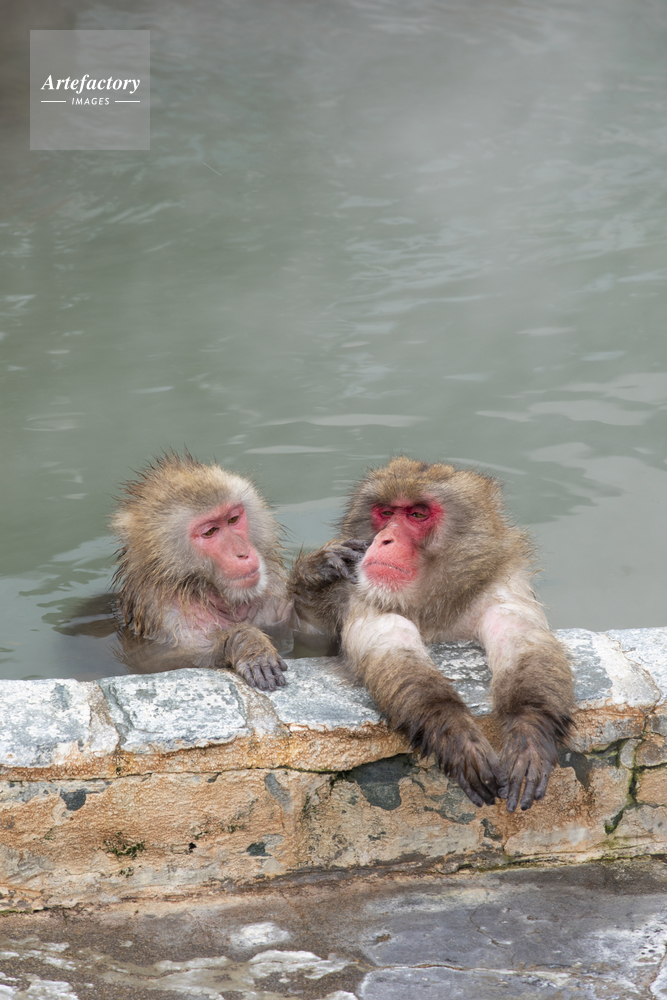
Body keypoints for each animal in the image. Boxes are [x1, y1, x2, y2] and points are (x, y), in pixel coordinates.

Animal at [111, 452, 294, 691]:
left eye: (233, 519)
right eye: (210, 531)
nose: (242, 553)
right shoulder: (169, 617)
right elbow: (174, 662)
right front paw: (246, 642)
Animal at [289, 457, 575, 813]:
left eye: (417, 515)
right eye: (386, 513)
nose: (384, 540)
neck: (432, 606)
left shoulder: (503, 589)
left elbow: (523, 643)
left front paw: (529, 731)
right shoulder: (364, 595)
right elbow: (392, 648)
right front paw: (454, 730)